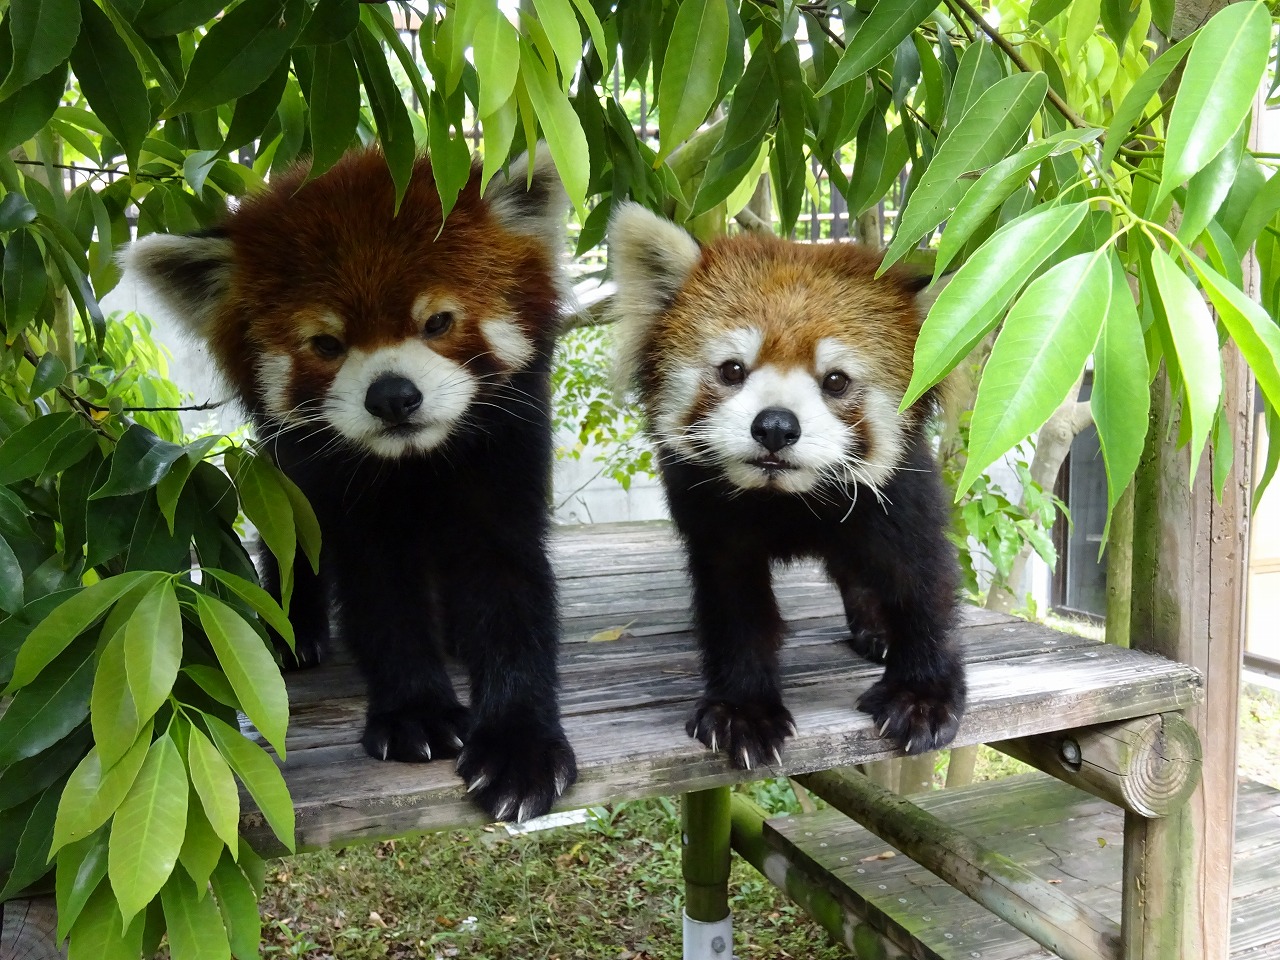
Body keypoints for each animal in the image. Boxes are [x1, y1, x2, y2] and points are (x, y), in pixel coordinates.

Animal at [123, 152, 576, 829]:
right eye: (327, 344)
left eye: (437, 322)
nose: (392, 397)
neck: (411, 462)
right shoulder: (335, 479)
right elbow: (377, 584)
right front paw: (416, 712)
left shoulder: (507, 449)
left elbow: (505, 578)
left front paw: (519, 745)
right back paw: (297, 627)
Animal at [606, 207, 962, 773]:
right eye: (732, 370)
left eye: (836, 381)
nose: (775, 426)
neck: (789, 498)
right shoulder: (713, 520)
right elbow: (734, 602)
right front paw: (743, 710)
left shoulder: (898, 495)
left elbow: (921, 580)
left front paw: (922, 696)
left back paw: (878, 631)